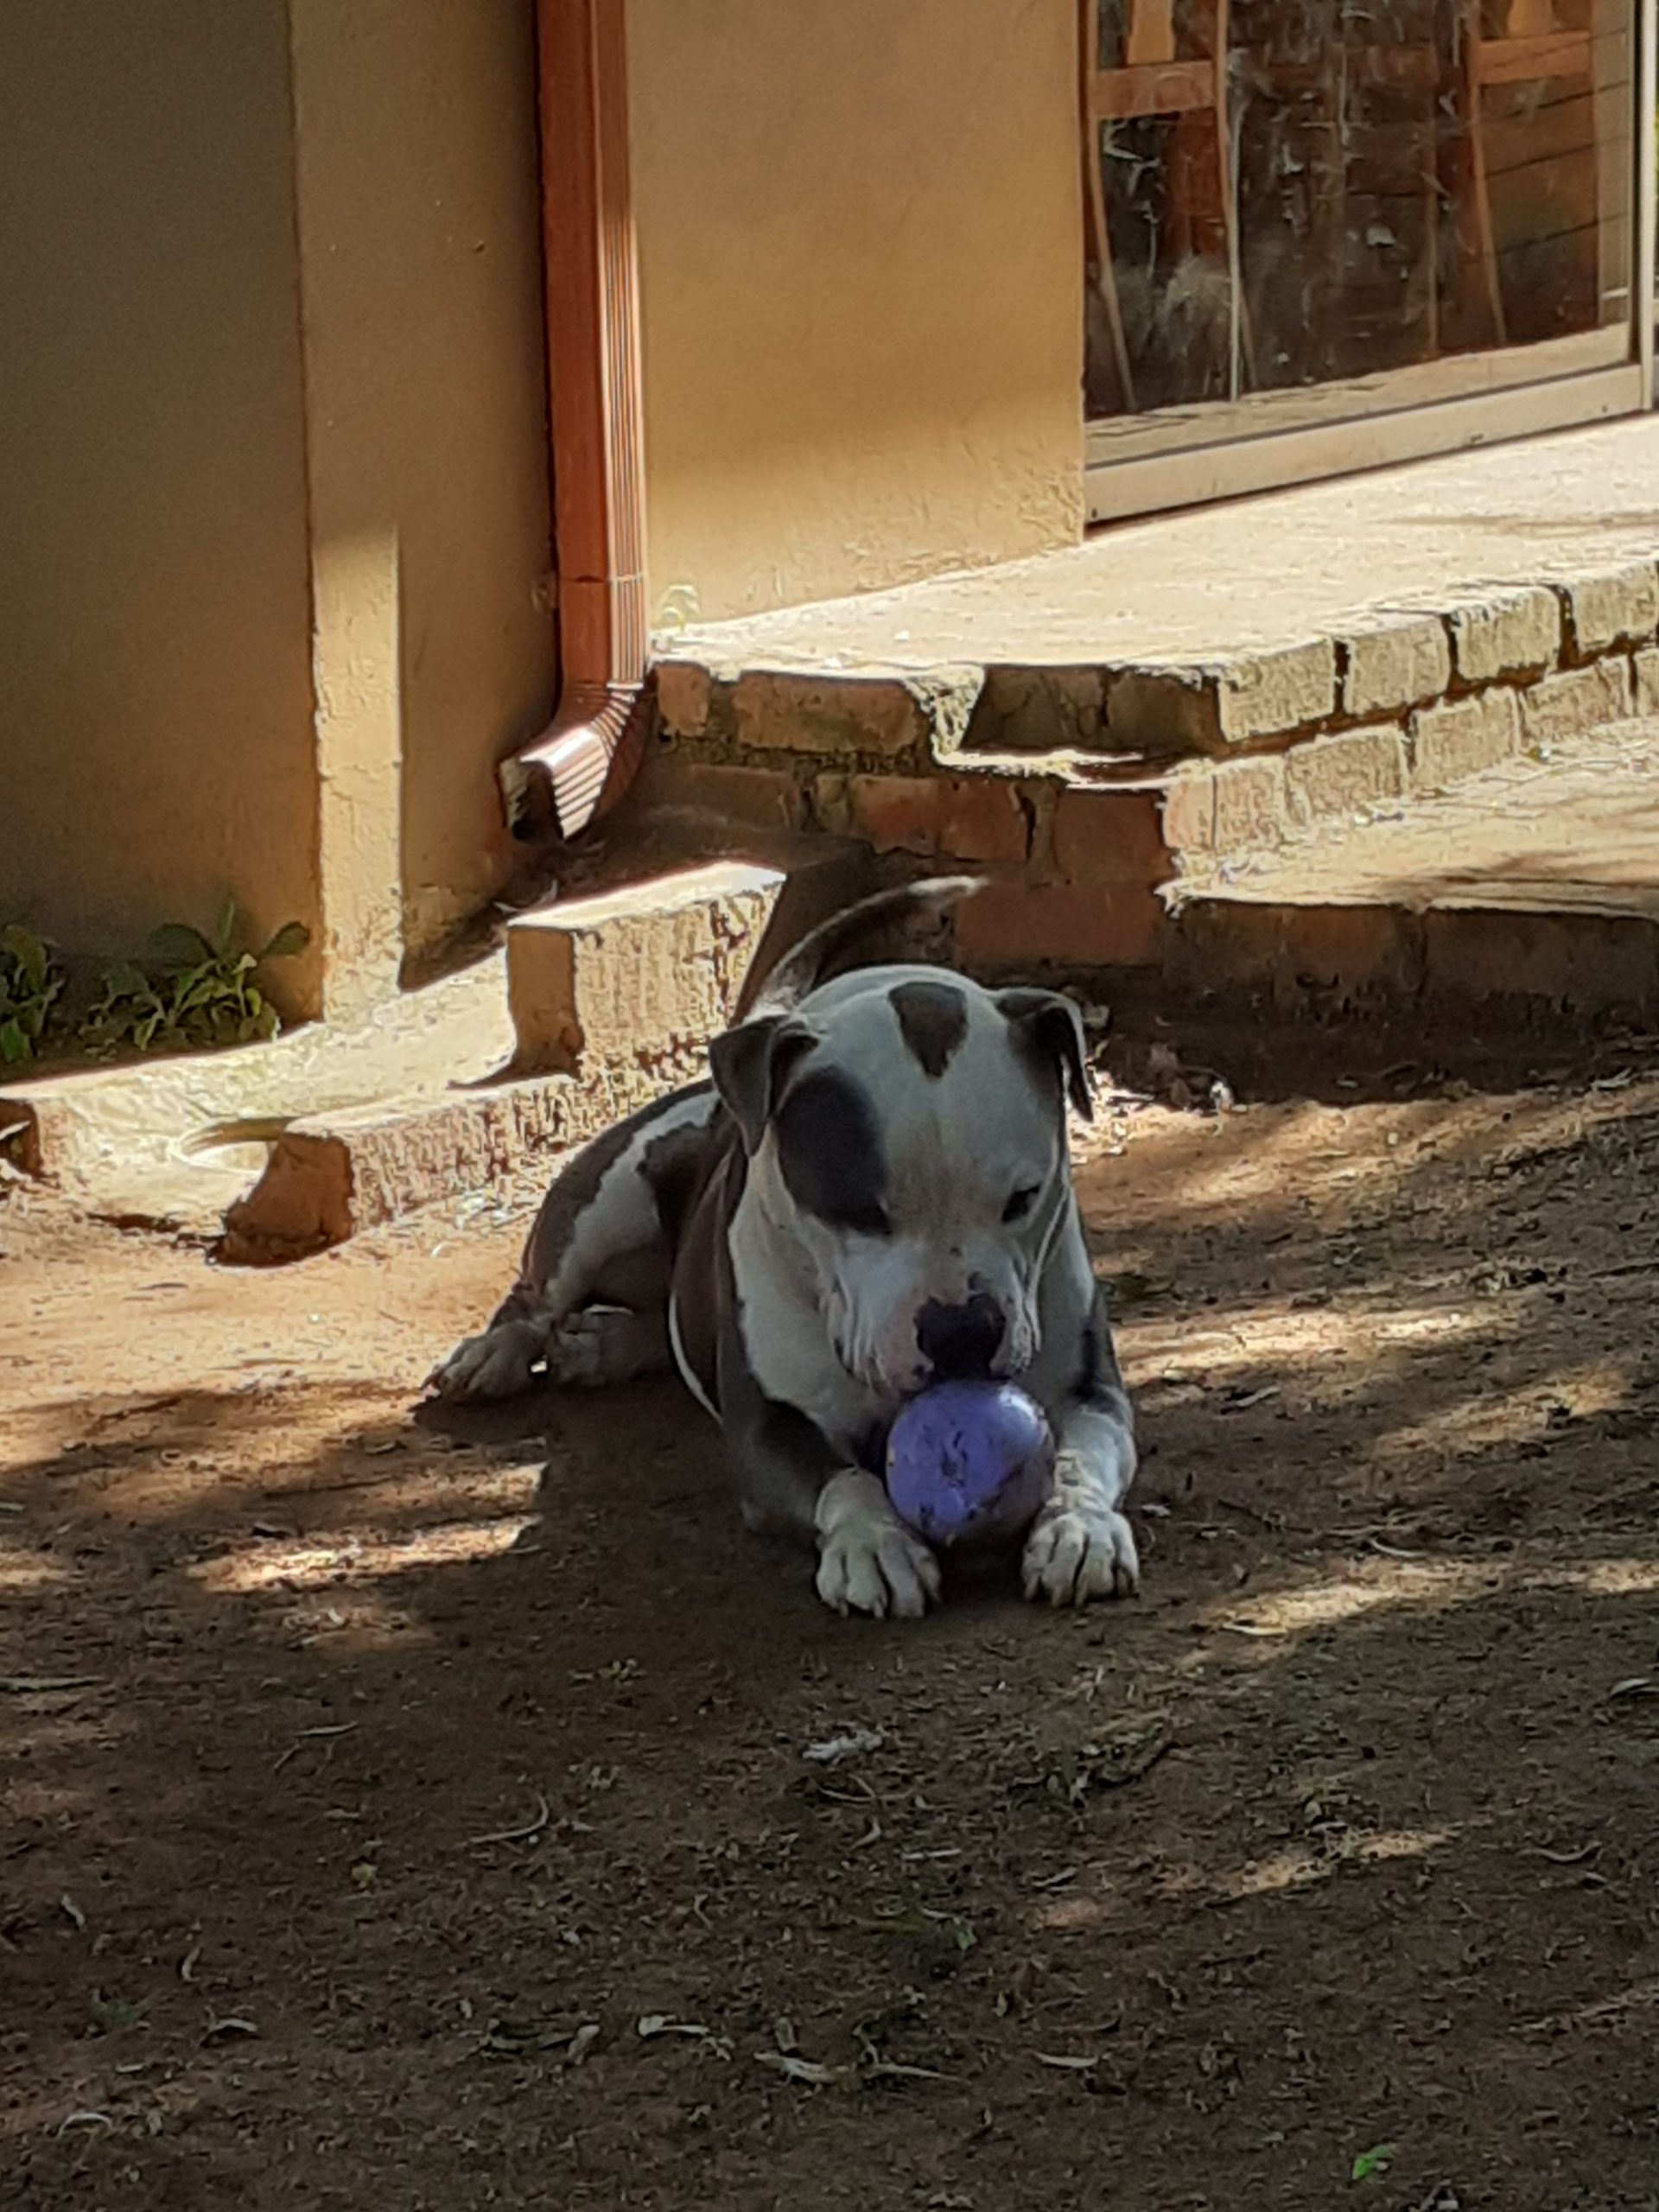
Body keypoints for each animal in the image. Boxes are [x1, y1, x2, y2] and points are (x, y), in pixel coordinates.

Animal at [429, 877, 1139, 1620]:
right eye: (857, 1210)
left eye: (1023, 1198)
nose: (962, 1332)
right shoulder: (767, 1427)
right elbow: (844, 1480)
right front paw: (873, 1545)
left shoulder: (1092, 1393)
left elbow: (1080, 1458)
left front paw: (1079, 1529)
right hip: (608, 1198)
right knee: (537, 1294)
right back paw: (493, 1354)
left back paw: (603, 1347)